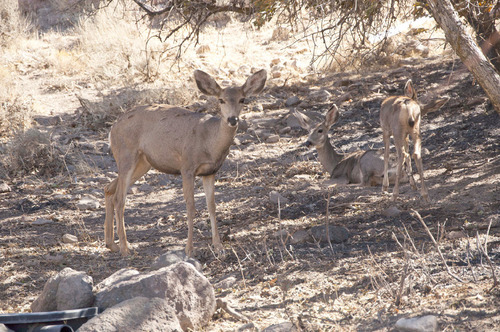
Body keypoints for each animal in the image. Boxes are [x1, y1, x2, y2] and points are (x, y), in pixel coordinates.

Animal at [104, 69, 268, 256]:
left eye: (242, 99)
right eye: (221, 100)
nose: (232, 119)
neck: (209, 142)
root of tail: (113, 128)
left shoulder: (210, 172)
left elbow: (212, 207)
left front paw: (218, 247)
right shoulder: (187, 167)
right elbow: (191, 208)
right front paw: (189, 249)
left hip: (143, 163)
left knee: (109, 189)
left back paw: (112, 244)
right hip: (126, 154)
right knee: (120, 198)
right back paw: (125, 248)